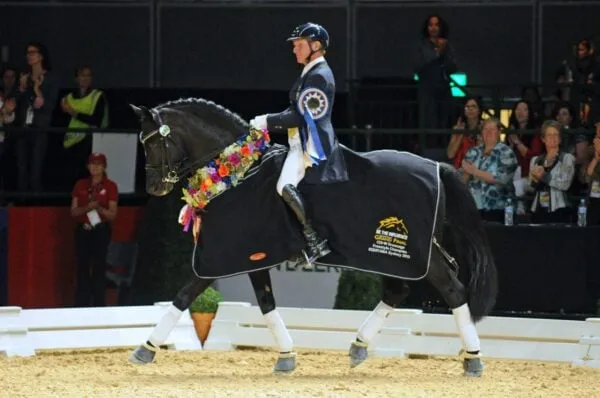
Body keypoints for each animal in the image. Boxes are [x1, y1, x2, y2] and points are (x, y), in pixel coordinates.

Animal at [126, 98, 496, 376]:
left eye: (153, 141)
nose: (154, 188)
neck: (235, 173)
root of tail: (437, 166)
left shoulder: (226, 254)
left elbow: (184, 295)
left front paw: (145, 349)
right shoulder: (254, 256)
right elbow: (266, 304)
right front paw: (286, 357)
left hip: (412, 254)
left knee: (453, 290)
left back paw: (473, 361)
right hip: (392, 255)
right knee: (398, 290)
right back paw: (358, 347)